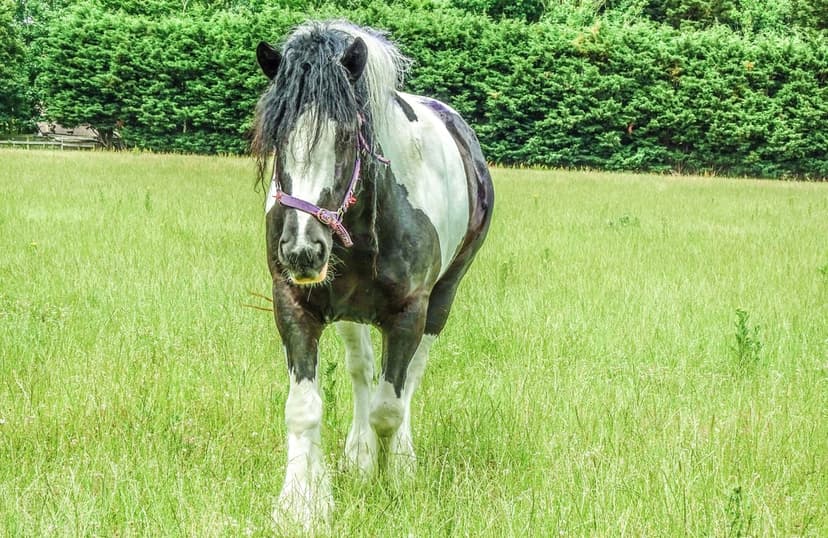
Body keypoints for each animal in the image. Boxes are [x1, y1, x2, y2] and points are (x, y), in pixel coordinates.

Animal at [251, 20, 494, 531]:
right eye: (277, 136)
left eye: (347, 136)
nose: (302, 251)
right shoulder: (293, 304)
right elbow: (303, 408)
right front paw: (301, 503)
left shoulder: (408, 313)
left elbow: (390, 406)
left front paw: (393, 482)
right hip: (348, 313)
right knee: (362, 369)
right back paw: (358, 456)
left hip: (443, 298)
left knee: (410, 376)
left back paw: (399, 457)